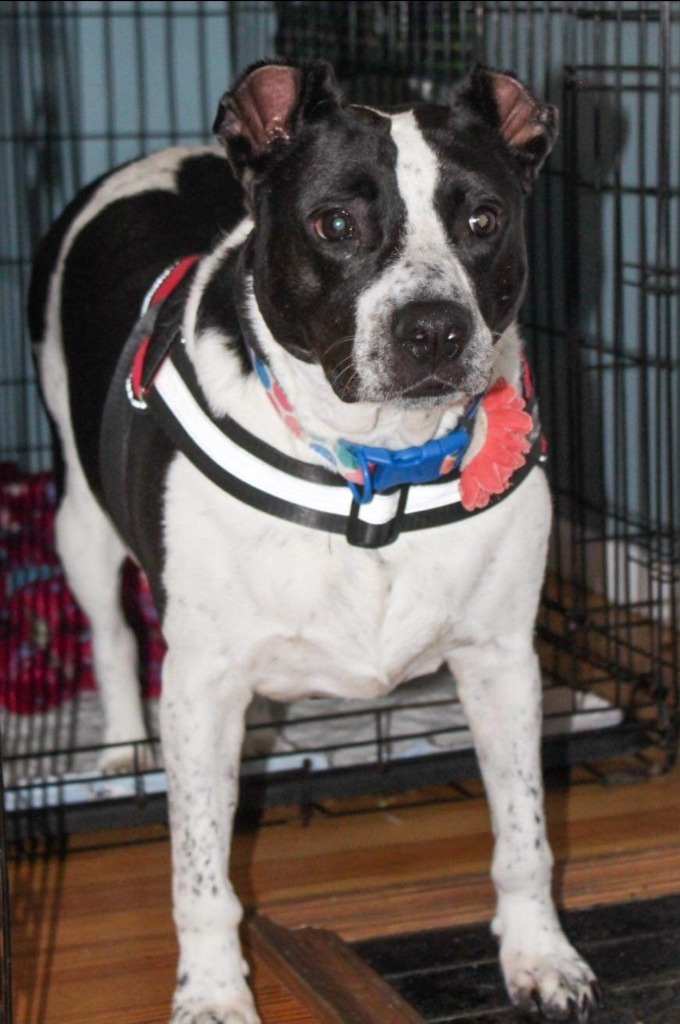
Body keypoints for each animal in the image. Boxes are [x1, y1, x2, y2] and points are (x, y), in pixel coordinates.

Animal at [30, 59, 602, 1019]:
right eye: (336, 223)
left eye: (483, 220)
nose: (433, 328)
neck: (376, 470)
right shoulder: (200, 686)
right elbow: (200, 875)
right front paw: (212, 993)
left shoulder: (502, 661)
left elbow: (525, 832)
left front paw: (540, 955)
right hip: (78, 517)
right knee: (109, 634)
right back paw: (120, 747)